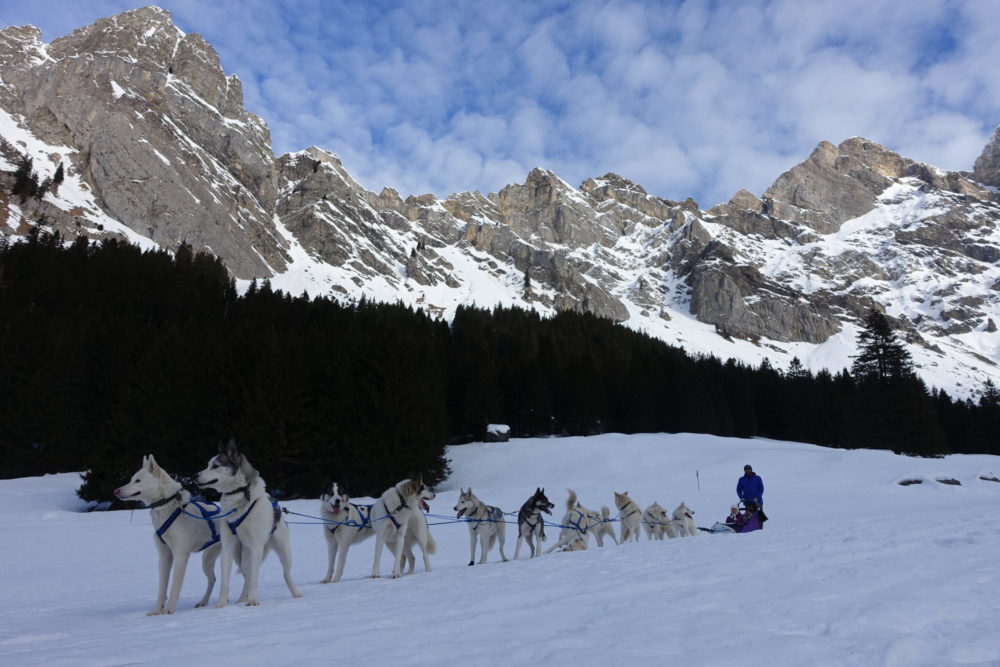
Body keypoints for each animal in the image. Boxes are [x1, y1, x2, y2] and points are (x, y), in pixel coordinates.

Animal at [115, 454, 223, 616]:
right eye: (131, 479)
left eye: (138, 480)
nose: (116, 491)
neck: (167, 506)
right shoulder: (164, 555)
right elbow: (162, 588)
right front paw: (156, 611)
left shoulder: (180, 555)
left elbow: (175, 586)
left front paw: (169, 610)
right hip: (207, 560)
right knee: (213, 579)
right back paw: (203, 602)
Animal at [195, 440, 300, 608]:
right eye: (208, 465)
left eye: (215, 466)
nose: (194, 476)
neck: (239, 493)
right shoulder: (228, 547)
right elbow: (225, 581)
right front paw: (221, 604)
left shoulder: (256, 546)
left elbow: (255, 578)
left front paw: (252, 600)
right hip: (242, 557)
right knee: (247, 576)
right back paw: (241, 599)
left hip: (282, 551)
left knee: (286, 574)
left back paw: (296, 594)